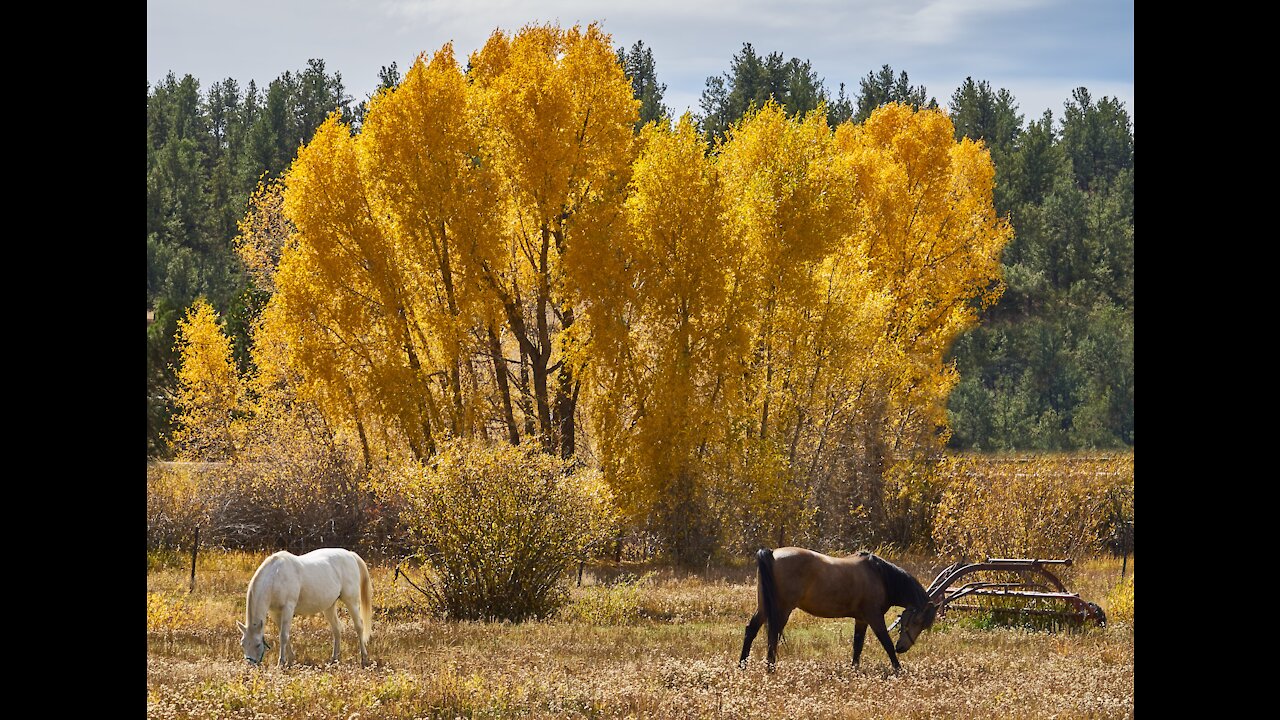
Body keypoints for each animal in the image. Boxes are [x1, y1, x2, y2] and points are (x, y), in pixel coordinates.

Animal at [238, 545, 373, 666]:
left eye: (257, 644)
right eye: (242, 644)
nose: (251, 665)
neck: (275, 577)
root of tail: (350, 555)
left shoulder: (288, 608)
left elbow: (283, 636)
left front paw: (281, 663)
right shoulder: (274, 612)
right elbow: (284, 634)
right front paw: (291, 659)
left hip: (351, 601)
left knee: (359, 626)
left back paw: (364, 658)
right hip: (329, 606)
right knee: (336, 629)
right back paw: (334, 659)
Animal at [737, 545, 936, 671]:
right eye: (917, 621)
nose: (902, 648)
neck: (880, 576)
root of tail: (771, 554)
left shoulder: (861, 619)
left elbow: (857, 646)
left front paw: (854, 670)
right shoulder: (874, 617)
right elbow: (885, 642)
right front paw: (898, 669)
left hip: (765, 607)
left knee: (751, 630)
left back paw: (742, 666)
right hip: (782, 609)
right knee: (773, 634)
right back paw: (770, 669)